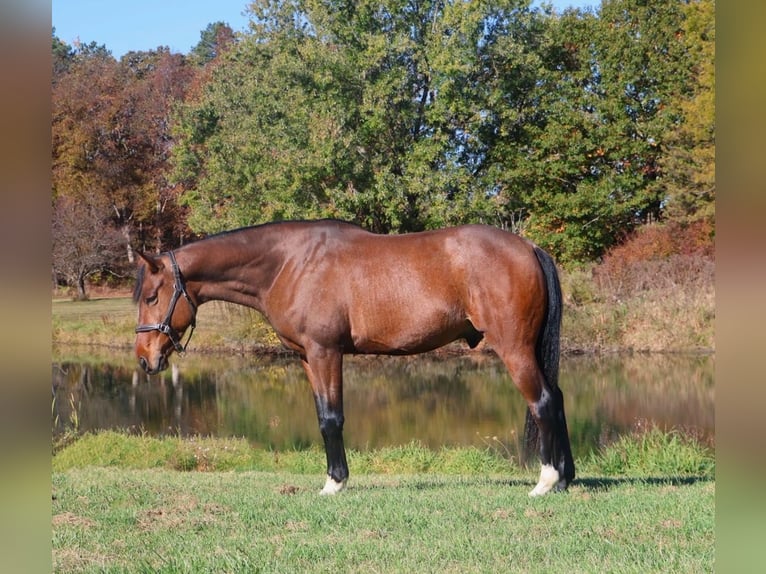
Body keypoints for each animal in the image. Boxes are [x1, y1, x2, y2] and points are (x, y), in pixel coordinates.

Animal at [133, 219, 575, 496]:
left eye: (152, 296)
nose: (144, 359)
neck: (289, 263)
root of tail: (529, 247)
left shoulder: (325, 352)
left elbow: (332, 419)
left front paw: (335, 483)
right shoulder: (307, 358)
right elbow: (322, 417)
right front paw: (334, 478)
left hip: (514, 348)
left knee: (542, 402)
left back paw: (545, 482)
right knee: (558, 399)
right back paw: (566, 478)